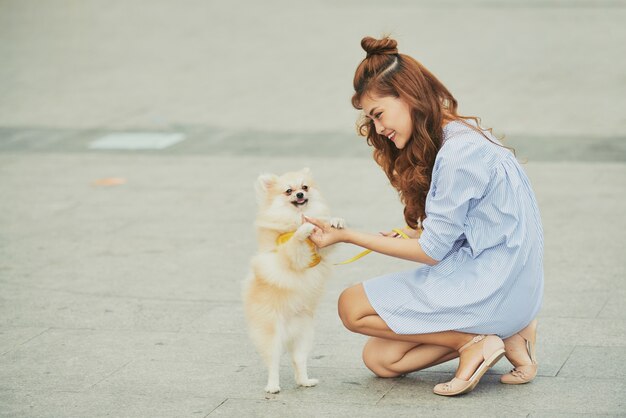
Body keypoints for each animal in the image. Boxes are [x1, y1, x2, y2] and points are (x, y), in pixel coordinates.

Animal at [241, 168, 344, 394]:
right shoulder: (289, 256)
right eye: (288, 191)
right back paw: (272, 386)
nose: (299, 194)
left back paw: (304, 381)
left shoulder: (321, 249)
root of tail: (288, 331)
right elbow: (295, 242)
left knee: (298, 360)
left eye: (305, 187)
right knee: (273, 363)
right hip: (271, 333)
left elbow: (327, 238)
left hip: (305, 334)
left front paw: (336, 221)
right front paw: (303, 230)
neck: (295, 217)